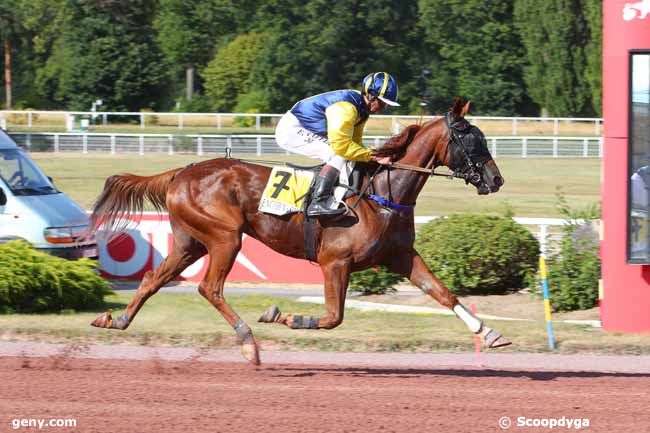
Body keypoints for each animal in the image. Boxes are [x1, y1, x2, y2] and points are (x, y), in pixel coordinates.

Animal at [90, 99, 506, 362]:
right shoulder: (335, 262)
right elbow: (333, 317)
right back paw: (249, 343)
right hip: (225, 237)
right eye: (471, 139)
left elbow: (443, 293)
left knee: (153, 278)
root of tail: (181, 172)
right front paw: (284, 316)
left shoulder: (400, 256)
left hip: (190, 242)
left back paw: (116, 319)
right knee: (210, 288)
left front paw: (489, 333)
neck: (381, 195)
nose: (496, 180)